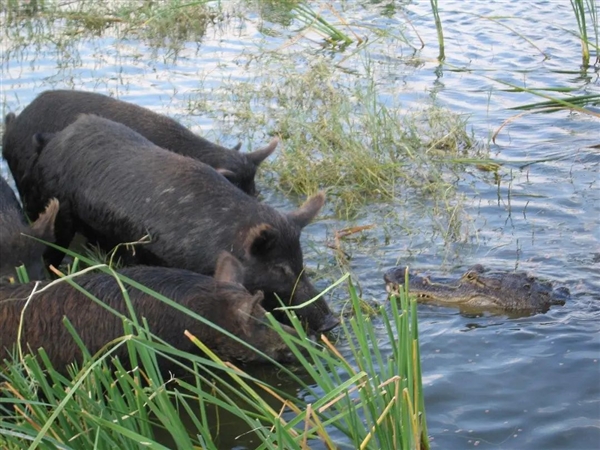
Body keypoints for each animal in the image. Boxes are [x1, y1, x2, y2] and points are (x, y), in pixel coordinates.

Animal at [29, 115, 338, 334]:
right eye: (279, 268)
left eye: (302, 264)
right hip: (57, 207)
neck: (219, 241)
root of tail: (57, 137)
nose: (331, 322)